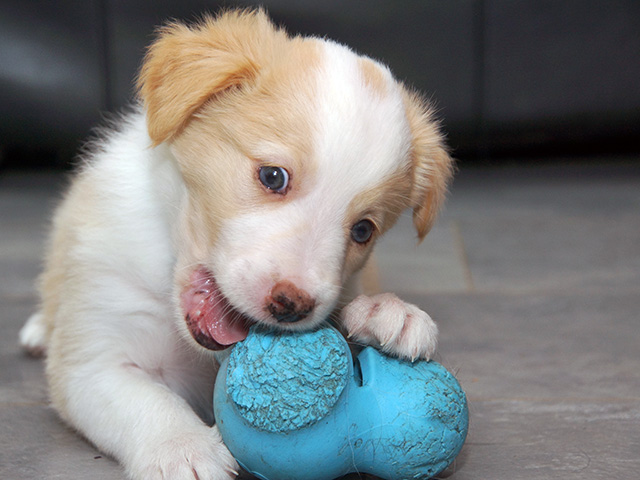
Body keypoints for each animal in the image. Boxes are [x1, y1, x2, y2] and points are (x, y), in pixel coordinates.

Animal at [19, 9, 453, 480]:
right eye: (273, 176)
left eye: (362, 230)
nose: (292, 306)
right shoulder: (93, 362)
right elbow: (147, 401)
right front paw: (184, 448)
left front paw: (387, 312)